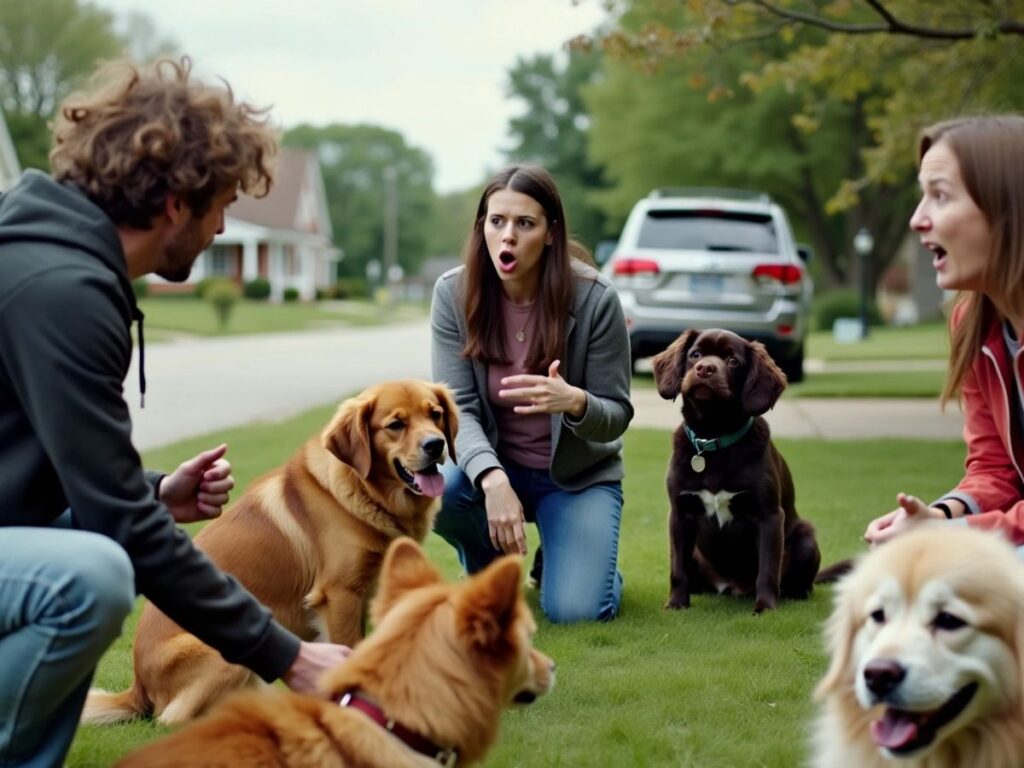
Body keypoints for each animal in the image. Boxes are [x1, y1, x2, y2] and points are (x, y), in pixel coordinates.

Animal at [83, 382, 460, 729]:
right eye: (396, 424)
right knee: (173, 719)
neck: (366, 492)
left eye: (435, 415)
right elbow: (349, 652)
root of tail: (138, 686)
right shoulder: (339, 596)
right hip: (222, 653)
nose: (435, 445)